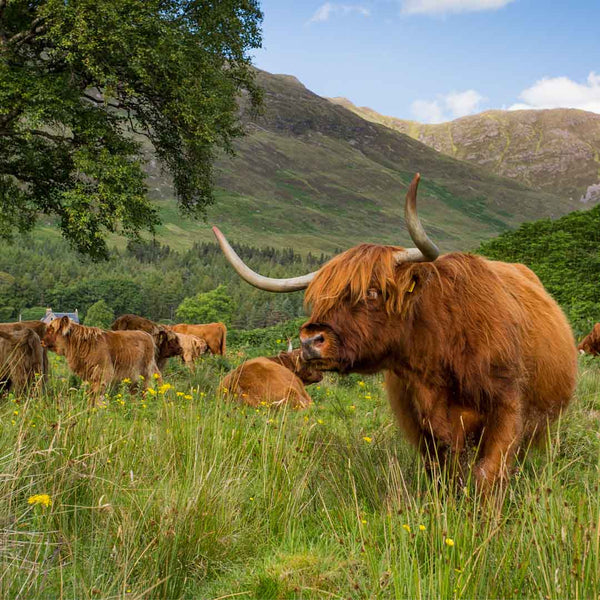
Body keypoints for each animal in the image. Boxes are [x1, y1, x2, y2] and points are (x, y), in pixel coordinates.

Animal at [213, 173, 580, 492]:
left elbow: (487, 473)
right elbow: (446, 474)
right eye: (319, 298)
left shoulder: (508, 408)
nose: (310, 341)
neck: (441, 353)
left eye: (374, 291)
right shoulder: (425, 426)